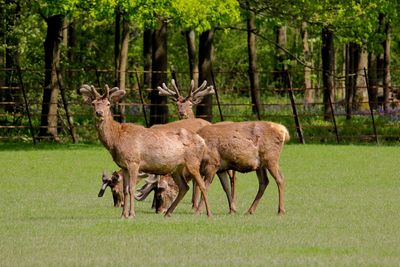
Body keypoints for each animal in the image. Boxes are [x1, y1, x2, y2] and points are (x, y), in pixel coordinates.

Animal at [80, 85, 212, 219]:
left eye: (108, 104)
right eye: (93, 103)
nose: (99, 113)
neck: (116, 139)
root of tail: (202, 141)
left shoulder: (133, 161)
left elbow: (132, 188)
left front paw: (131, 214)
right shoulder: (124, 166)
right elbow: (125, 190)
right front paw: (123, 215)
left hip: (193, 162)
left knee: (202, 185)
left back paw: (207, 213)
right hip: (177, 168)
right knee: (184, 187)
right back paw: (168, 213)